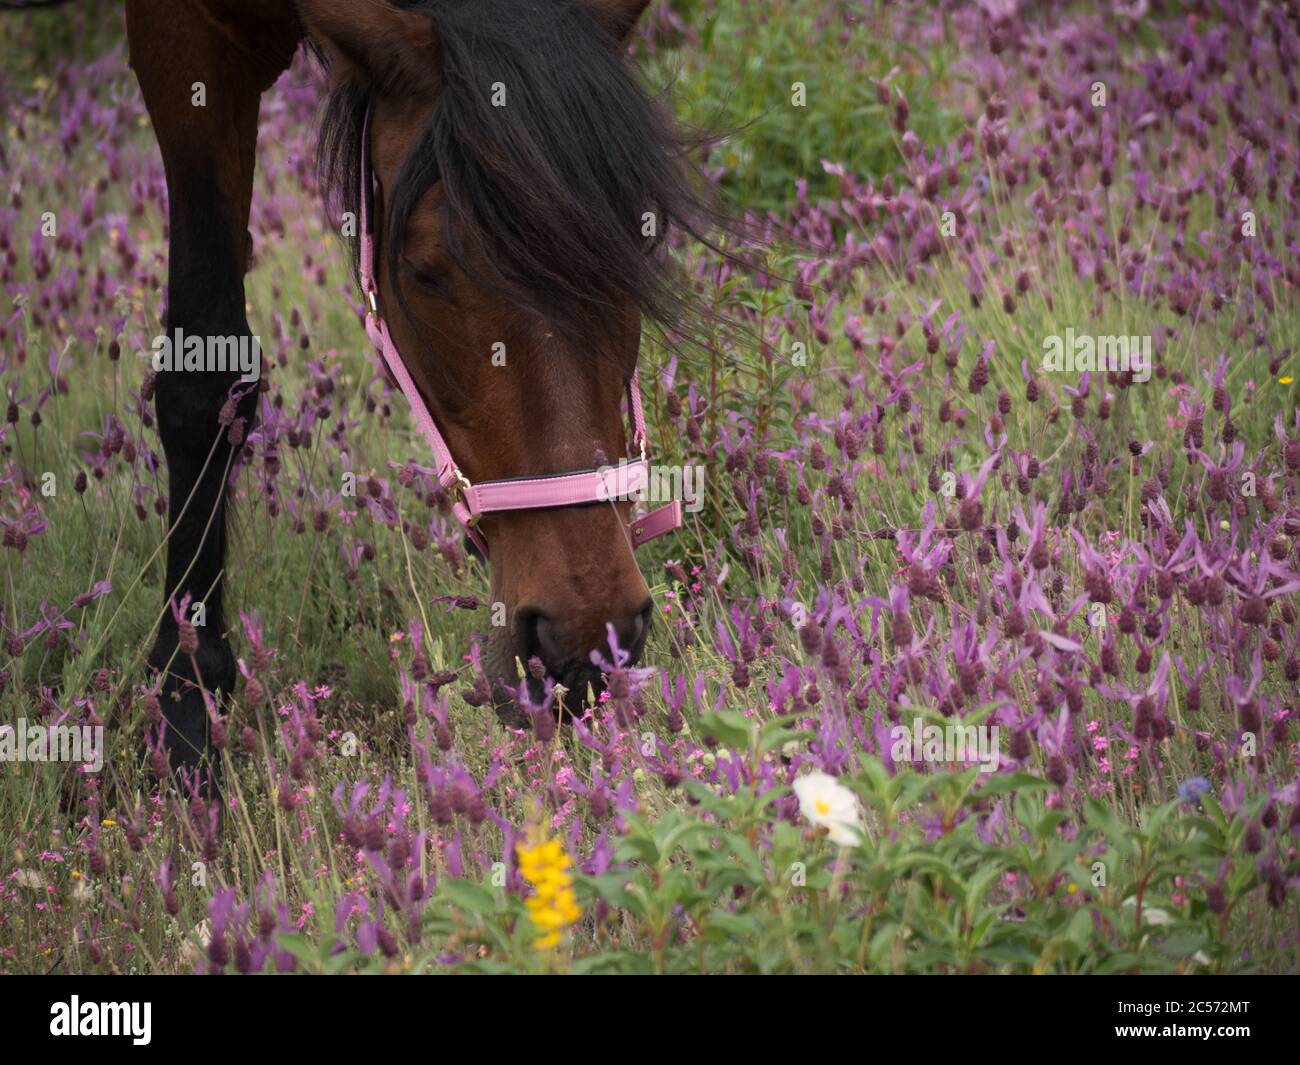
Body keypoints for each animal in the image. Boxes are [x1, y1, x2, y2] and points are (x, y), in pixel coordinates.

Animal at [120, 0, 712, 780]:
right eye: (427, 271)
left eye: (638, 244)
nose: (588, 637)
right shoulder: (188, 43)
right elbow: (205, 373)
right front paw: (186, 708)